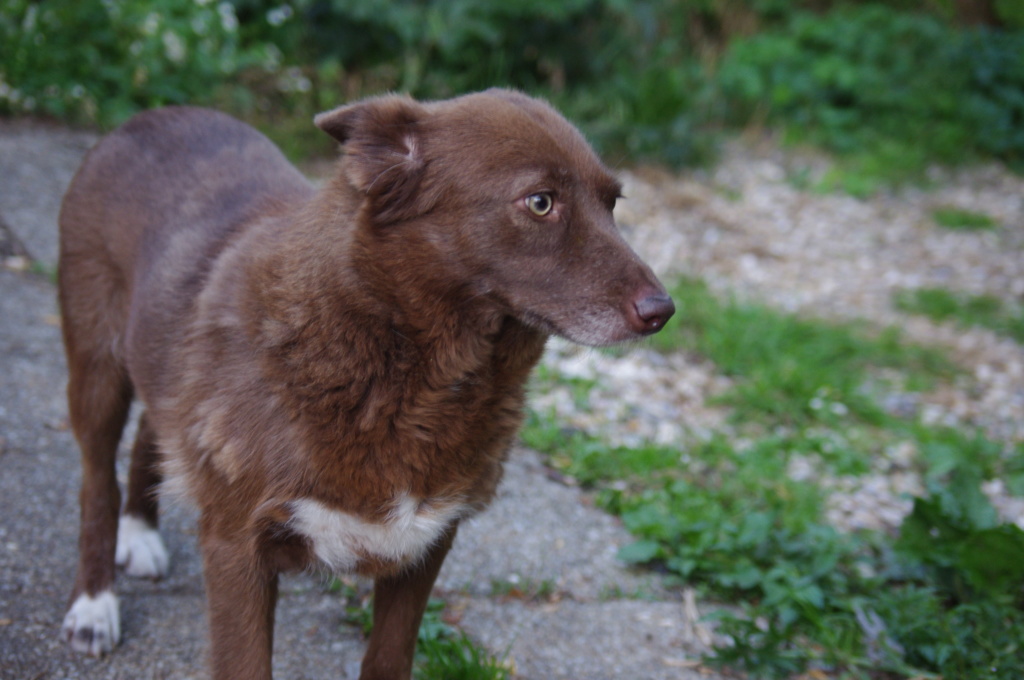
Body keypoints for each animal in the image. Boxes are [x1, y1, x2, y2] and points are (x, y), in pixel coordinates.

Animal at [59, 91, 675, 680]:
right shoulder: (236, 547)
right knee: (95, 481)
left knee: (155, 423)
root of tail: (148, 118)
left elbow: (388, 658)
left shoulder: (427, 544)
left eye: (612, 203)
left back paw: (140, 531)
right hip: (97, 364)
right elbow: (246, 665)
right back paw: (94, 604)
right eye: (541, 201)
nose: (662, 311)